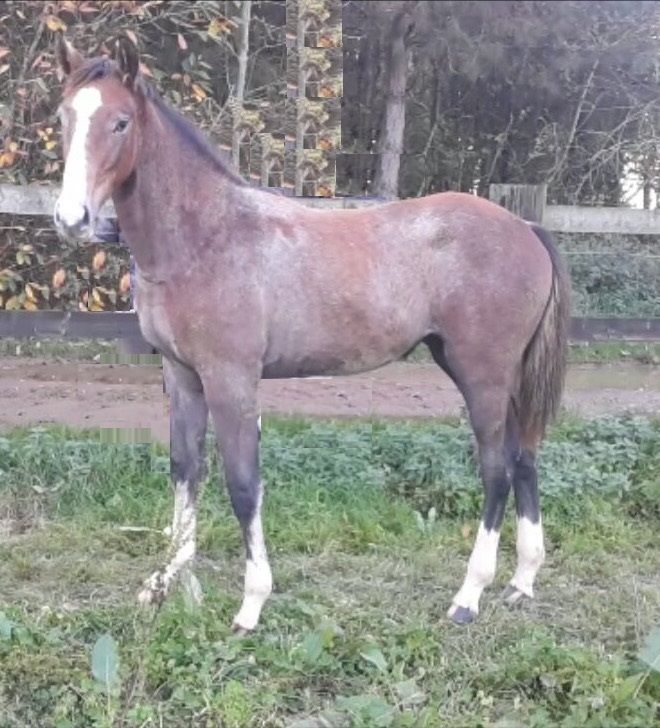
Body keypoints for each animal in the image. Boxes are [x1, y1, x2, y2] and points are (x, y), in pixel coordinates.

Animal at [53, 36, 570, 632]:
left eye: (120, 122)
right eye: (64, 116)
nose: (71, 218)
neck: (204, 237)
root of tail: (525, 228)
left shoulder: (232, 380)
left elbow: (242, 482)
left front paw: (251, 605)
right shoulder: (182, 377)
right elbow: (185, 471)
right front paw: (166, 582)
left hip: (482, 376)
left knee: (496, 470)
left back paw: (469, 596)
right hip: (495, 376)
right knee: (524, 457)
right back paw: (521, 582)